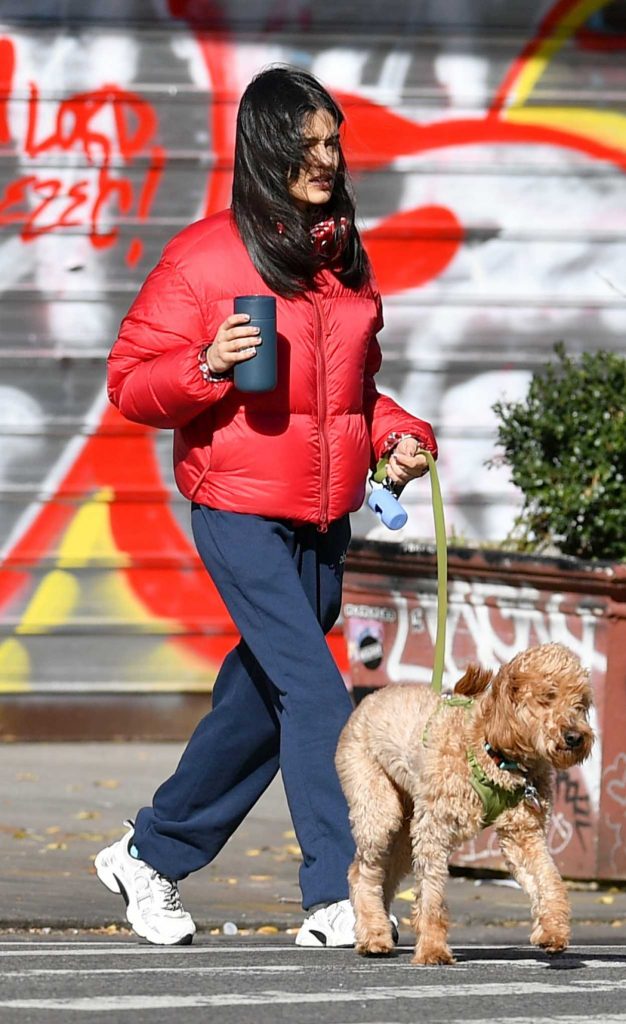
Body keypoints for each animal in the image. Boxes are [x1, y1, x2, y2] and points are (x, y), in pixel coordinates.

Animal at [336, 643, 594, 962]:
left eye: (580, 703)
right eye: (548, 696)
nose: (575, 737)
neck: (492, 751)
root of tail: (368, 699)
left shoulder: (522, 833)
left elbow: (548, 878)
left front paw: (553, 930)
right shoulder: (434, 829)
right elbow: (432, 895)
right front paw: (432, 948)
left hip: (404, 833)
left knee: (384, 875)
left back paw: (378, 929)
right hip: (379, 808)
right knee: (362, 872)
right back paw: (373, 935)